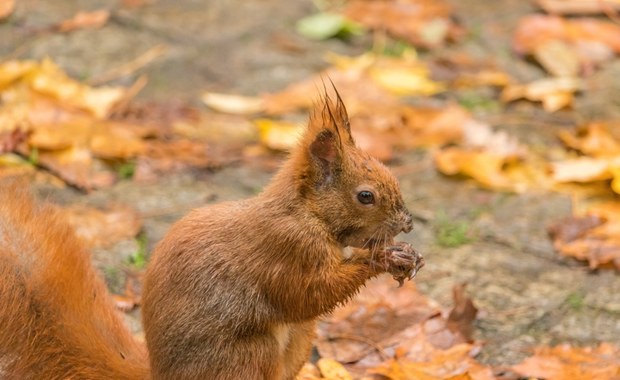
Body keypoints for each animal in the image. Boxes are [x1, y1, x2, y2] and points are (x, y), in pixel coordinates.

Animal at [0, 90, 422, 380]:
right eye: (365, 196)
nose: (407, 223)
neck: (305, 212)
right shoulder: (285, 247)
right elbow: (308, 293)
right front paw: (384, 257)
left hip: (298, 341)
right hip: (247, 355)